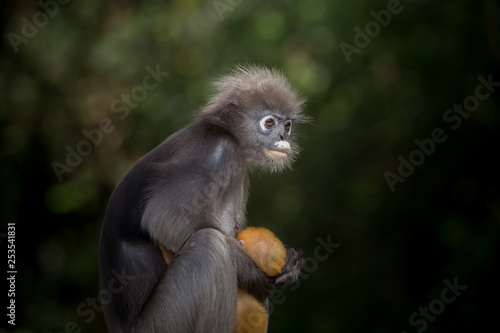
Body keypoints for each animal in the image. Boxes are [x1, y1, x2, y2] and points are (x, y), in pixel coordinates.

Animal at [98, 65, 308, 332]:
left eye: (287, 125)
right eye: (269, 123)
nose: (283, 137)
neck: (228, 134)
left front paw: (293, 259)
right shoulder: (217, 154)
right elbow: (166, 220)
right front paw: (256, 278)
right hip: (161, 323)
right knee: (210, 244)